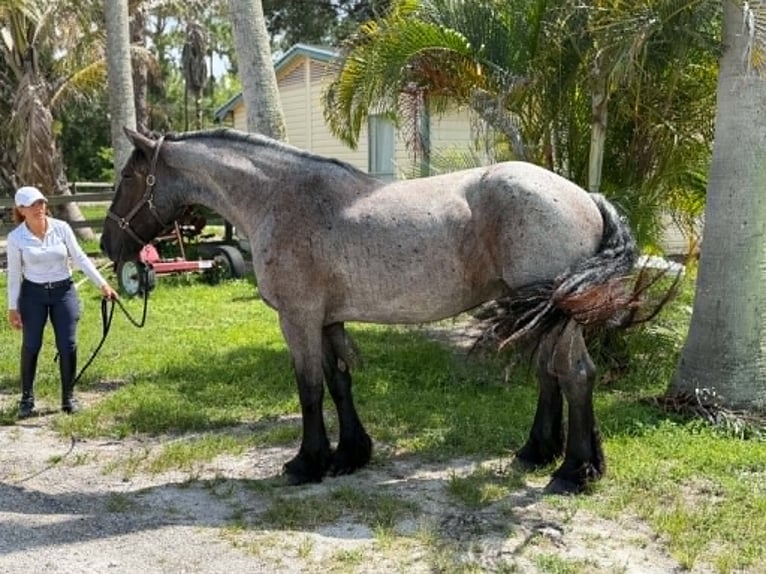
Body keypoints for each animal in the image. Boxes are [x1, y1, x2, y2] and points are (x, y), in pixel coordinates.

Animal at [100, 127, 638, 494]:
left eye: (128, 176)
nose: (108, 244)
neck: (283, 199)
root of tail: (586, 196)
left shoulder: (296, 318)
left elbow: (310, 390)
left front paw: (306, 463)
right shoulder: (326, 319)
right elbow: (339, 382)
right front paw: (350, 455)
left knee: (576, 376)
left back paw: (573, 473)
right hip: (540, 312)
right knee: (552, 375)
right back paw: (539, 455)